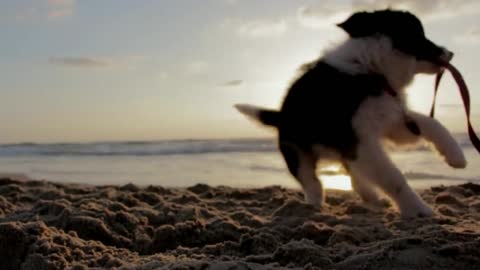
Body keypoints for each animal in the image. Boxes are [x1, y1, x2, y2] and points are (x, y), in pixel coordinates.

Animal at [234, 8, 466, 219]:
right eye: (420, 34)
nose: (451, 53)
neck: (371, 69)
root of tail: (280, 116)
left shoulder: (391, 121)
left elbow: (430, 123)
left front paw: (456, 156)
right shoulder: (361, 140)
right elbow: (393, 176)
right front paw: (417, 209)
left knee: (353, 175)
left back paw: (371, 197)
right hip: (297, 152)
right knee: (312, 182)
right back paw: (314, 206)